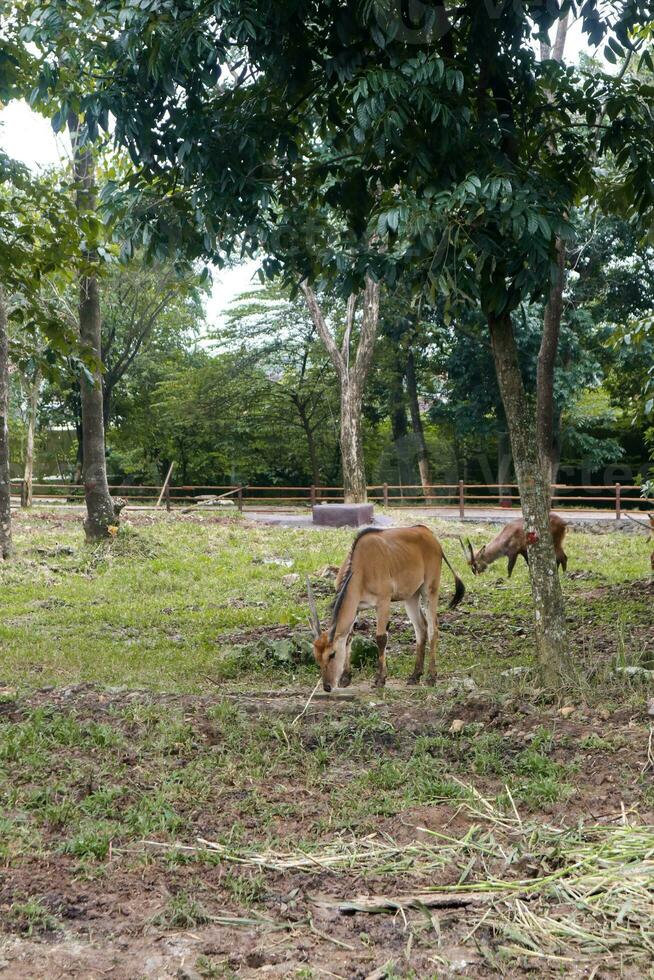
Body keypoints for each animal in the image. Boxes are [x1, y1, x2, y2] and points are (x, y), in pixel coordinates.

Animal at [308, 524, 466, 692]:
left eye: (332, 654)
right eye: (316, 656)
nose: (327, 686)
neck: (361, 564)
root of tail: (427, 532)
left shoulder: (383, 601)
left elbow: (381, 638)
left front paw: (380, 679)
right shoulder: (357, 607)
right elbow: (349, 637)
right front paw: (345, 678)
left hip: (429, 590)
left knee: (432, 628)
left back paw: (431, 677)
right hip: (411, 597)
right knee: (420, 628)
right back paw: (415, 676)